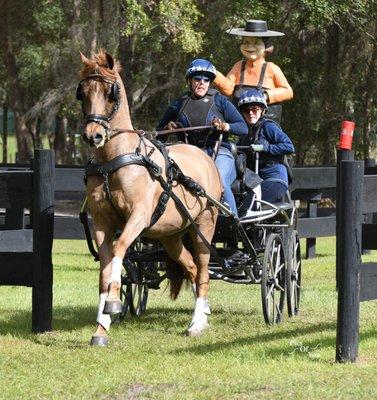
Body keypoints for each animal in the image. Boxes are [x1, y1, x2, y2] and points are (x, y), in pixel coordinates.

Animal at [77, 49, 222, 344]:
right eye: (82, 93)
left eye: (111, 92)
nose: (93, 135)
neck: (114, 160)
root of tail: (203, 156)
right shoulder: (101, 222)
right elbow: (105, 268)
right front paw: (101, 327)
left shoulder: (139, 217)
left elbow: (120, 248)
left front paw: (112, 304)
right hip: (172, 236)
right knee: (191, 268)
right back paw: (202, 312)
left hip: (204, 226)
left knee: (203, 271)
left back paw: (197, 323)